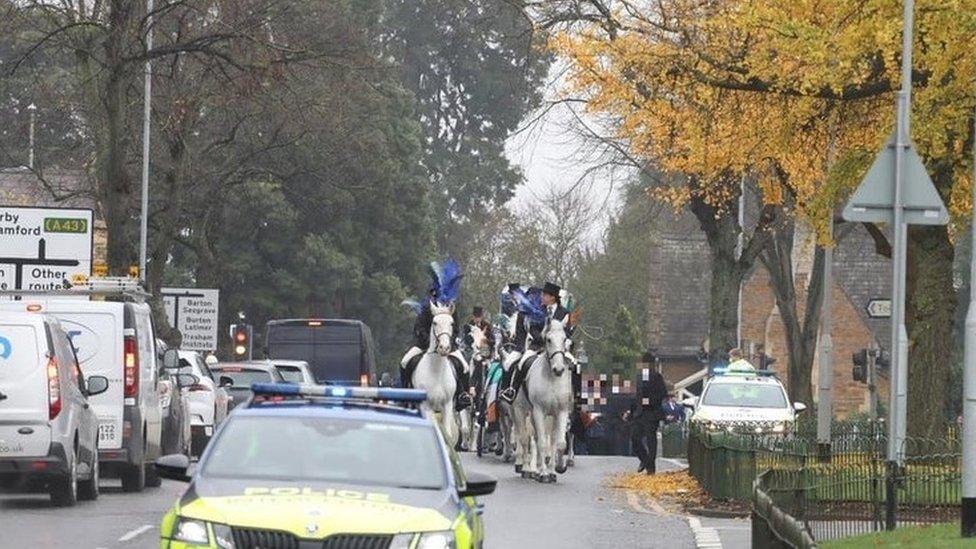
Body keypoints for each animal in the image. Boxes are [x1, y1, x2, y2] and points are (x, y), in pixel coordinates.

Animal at [406, 302, 464, 448]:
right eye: (435, 322)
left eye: (452, 323)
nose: (444, 348)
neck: (436, 370)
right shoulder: (426, 405)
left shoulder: (447, 404)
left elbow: (447, 434)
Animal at [510, 318, 572, 482]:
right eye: (548, 340)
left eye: (564, 339)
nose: (559, 369)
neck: (551, 378)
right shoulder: (539, 411)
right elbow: (543, 444)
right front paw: (544, 474)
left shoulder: (560, 412)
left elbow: (559, 443)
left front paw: (556, 470)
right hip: (521, 410)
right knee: (525, 439)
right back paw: (527, 469)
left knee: (540, 439)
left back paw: (538, 470)